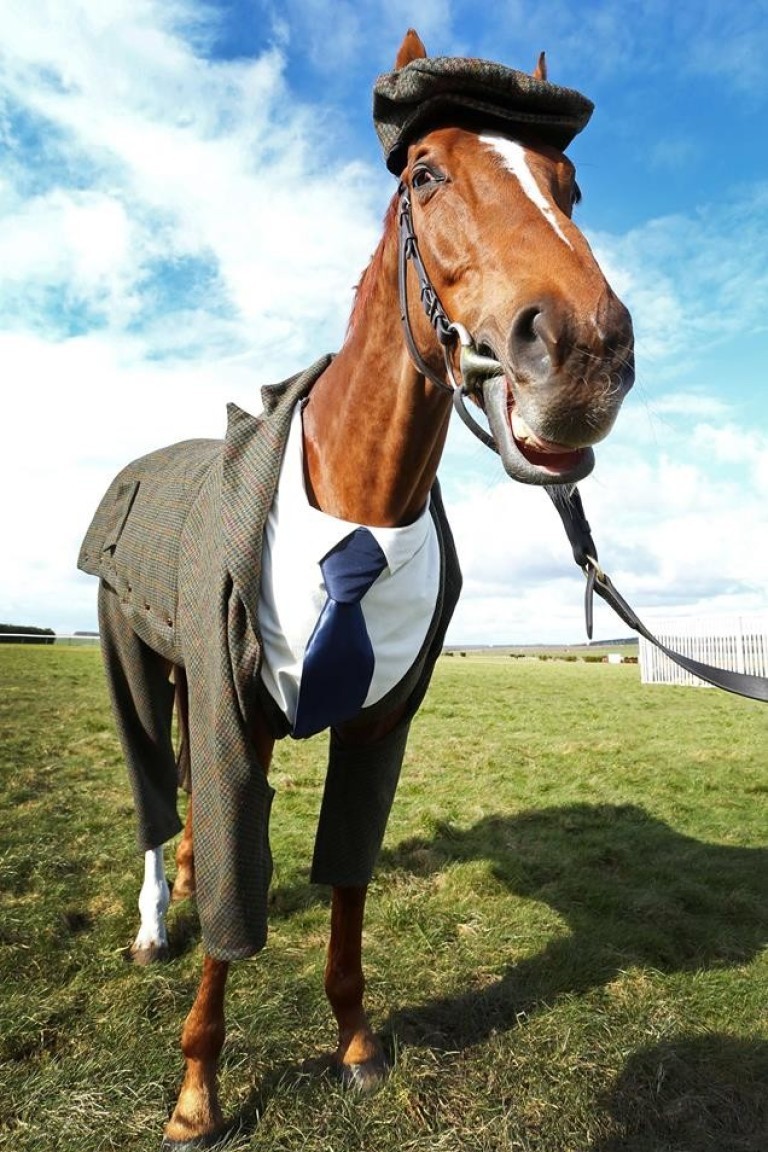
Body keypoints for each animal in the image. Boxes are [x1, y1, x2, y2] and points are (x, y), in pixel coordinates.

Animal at [79, 29, 635, 1152]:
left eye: (569, 183)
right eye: (425, 175)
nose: (586, 353)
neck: (356, 505)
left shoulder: (379, 728)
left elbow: (345, 883)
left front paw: (355, 1043)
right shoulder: (237, 720)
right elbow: (234, 908)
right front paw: (197, 1091)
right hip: (135, 658)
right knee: (157, 790)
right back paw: (156, 920)